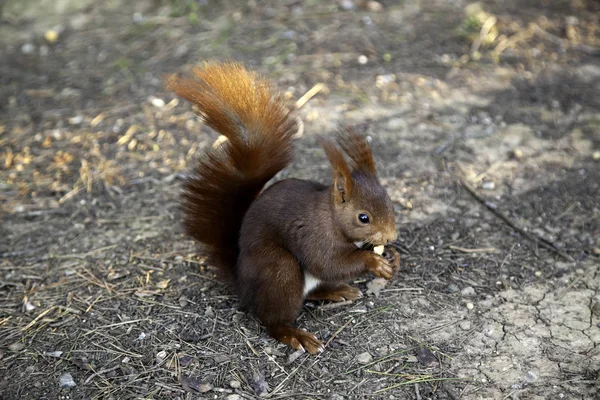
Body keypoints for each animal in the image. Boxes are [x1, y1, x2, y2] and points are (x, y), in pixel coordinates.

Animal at [165, 62, 398, 354]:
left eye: (390, 202)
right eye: (363, 217)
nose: (391, 237)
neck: (331, 217)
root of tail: (242, 283)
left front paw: (390, 255)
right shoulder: (314, 236)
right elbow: (328, 262)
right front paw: (373, 262)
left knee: (310, 292)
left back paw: (337, 291)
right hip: (280, 271)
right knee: (272, 320)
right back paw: (295, 334)